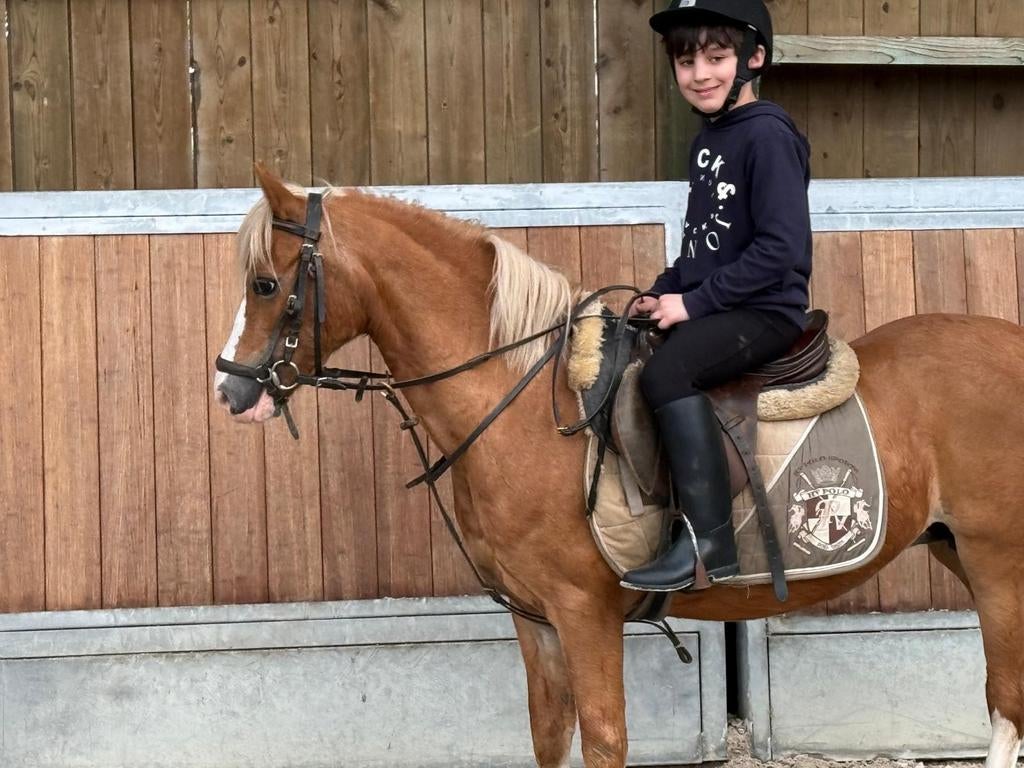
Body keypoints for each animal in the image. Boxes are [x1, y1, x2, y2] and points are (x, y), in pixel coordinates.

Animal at [213, 166, 1024, 768]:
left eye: (264, 285)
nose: (230, 390)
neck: (522, 405)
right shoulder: (535, 619)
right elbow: (549, 735)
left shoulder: (584, 612)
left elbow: (605, 741)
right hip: (958, 550)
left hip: (997, 561)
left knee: (1007, 707)